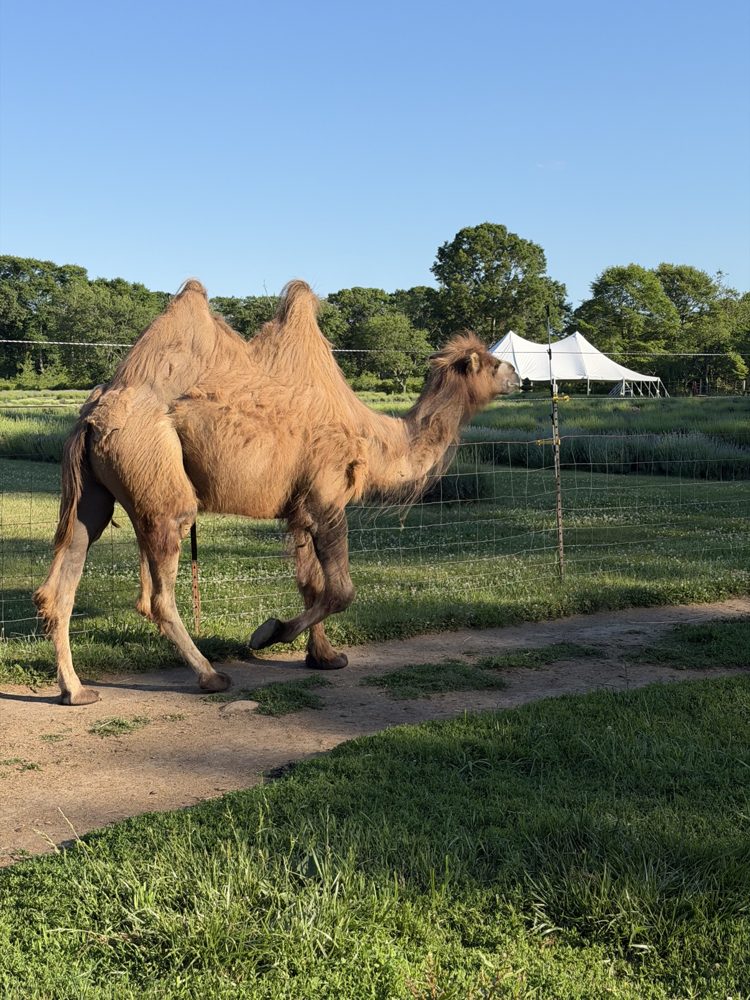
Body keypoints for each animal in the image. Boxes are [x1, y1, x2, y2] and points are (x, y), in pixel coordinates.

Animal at [34, 280, 519, 705]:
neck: (373, 440)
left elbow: (311, 583)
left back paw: (75, 691)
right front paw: (269, 633)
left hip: (95, 492)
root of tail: (92, 414)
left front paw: (324, 657)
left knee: (64, 575)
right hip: (156, 474)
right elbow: (341, 590)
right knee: (156, 591)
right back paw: (210, 676)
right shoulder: (327, 498)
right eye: (491, 362)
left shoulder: (300, 510)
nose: (519, 375)